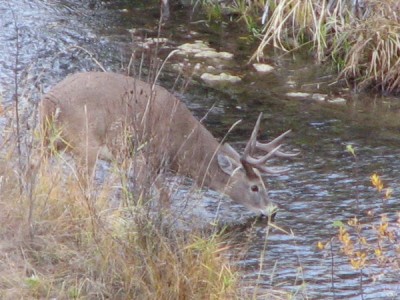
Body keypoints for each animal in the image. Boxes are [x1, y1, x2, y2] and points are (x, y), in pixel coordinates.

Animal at [39, 71, 298, 214]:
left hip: (46, 140)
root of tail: (51, 101)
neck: (182, 146)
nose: (272, 209)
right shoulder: (146, 158)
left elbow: (161, 196)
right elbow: (151, 196)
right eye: (255, 187)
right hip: (86, 144)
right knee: (82, 184)